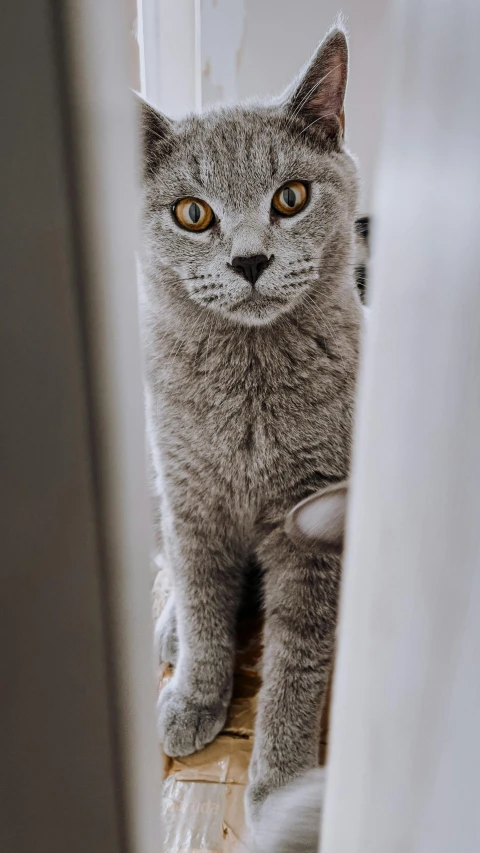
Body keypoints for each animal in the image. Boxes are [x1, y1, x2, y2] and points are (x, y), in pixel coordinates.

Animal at [137, 25, 362, 824]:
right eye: (192, 213)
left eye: (290, 198)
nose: (251, 259)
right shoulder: (189, 498)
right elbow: (204, 600)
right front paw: (194, 698)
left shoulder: (316, 523)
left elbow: (298, 659)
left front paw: (282, 782)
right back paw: (169, 633)